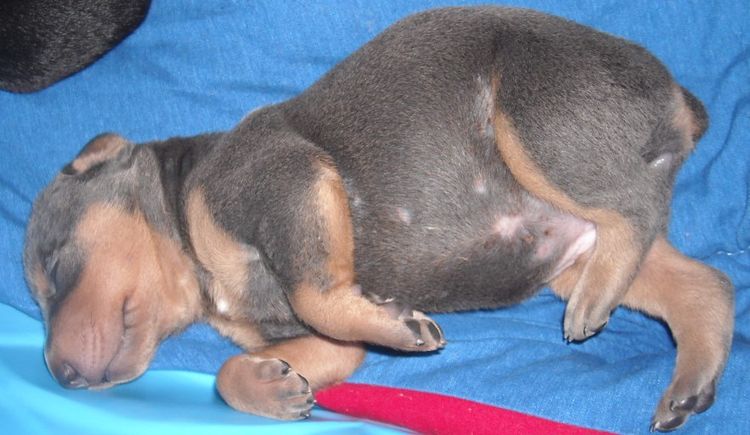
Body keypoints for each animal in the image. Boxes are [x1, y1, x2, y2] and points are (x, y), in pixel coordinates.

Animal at [22, 6, 736, 432]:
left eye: (53, 269)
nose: (58, 376)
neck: (203, 277)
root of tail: (680, 101)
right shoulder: (329, 342)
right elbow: (235, 371)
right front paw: (273, 389)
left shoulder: (282, 179)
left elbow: (315, 292)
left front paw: (404, 329)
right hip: (572, 238)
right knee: (707, 284)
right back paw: (687, 386)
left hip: (535, 117)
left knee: (637, 212)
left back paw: (595, 306)